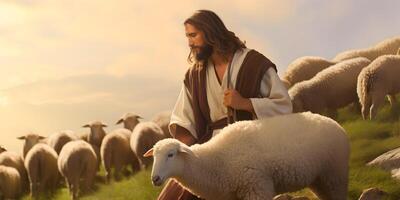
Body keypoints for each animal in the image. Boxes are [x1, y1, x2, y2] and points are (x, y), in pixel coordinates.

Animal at [145, 112, 348, 200]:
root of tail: (332, 121)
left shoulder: (256, 186)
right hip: (319, 178)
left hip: (335, 174)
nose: (155, 178)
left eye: (171, 154)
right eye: (154, 157)